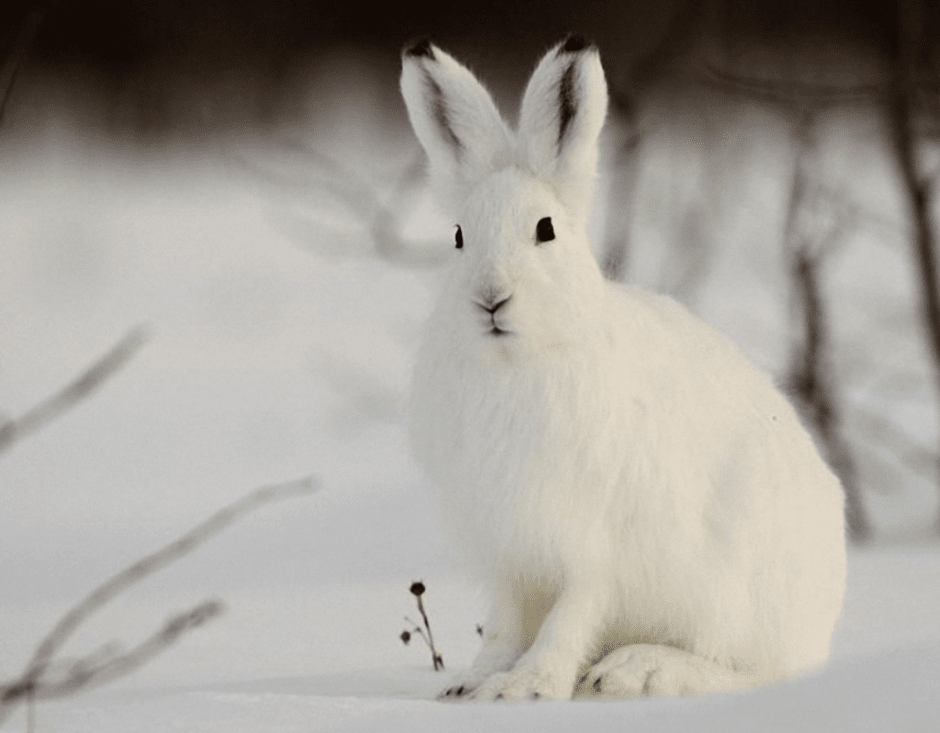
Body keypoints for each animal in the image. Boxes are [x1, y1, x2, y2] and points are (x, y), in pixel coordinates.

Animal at [401, 35, 847, 701]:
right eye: (457, 236)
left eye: (546, 230)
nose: (490, 297)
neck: (517, 361)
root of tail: (823, 623)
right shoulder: (510, 553)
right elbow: (504, 626)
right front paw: (471, 686)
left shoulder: (595, 551)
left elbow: (569, 618)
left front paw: (526, 687)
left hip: (735, 593)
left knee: (751, 671)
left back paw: (637, 670)